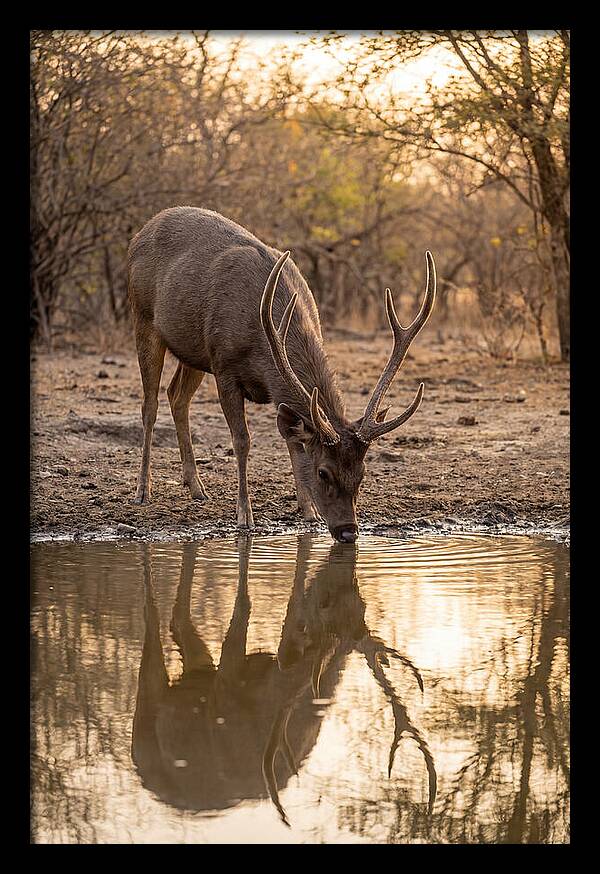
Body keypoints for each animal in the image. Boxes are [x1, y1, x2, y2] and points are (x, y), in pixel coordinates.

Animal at [127, 207, 436, 542]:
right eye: (323, 472)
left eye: (362, 472)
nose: (348, 531)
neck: (262, 341)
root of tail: (139, 233)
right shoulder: (224, 366)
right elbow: (242, 440)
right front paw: (245, 516)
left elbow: (293, 442)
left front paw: (309, 511)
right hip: (143, 318)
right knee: (150, 405)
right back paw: (143, 491)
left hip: (193, 351)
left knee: (177, 396)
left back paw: (196, 487)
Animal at [131, 535, 436, 826]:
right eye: (325, 602)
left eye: (362, 604)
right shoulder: (224, 691)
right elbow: (246, 607)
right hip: (146, 723)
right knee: (151, 634)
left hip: (198, 672)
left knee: (179, 623)